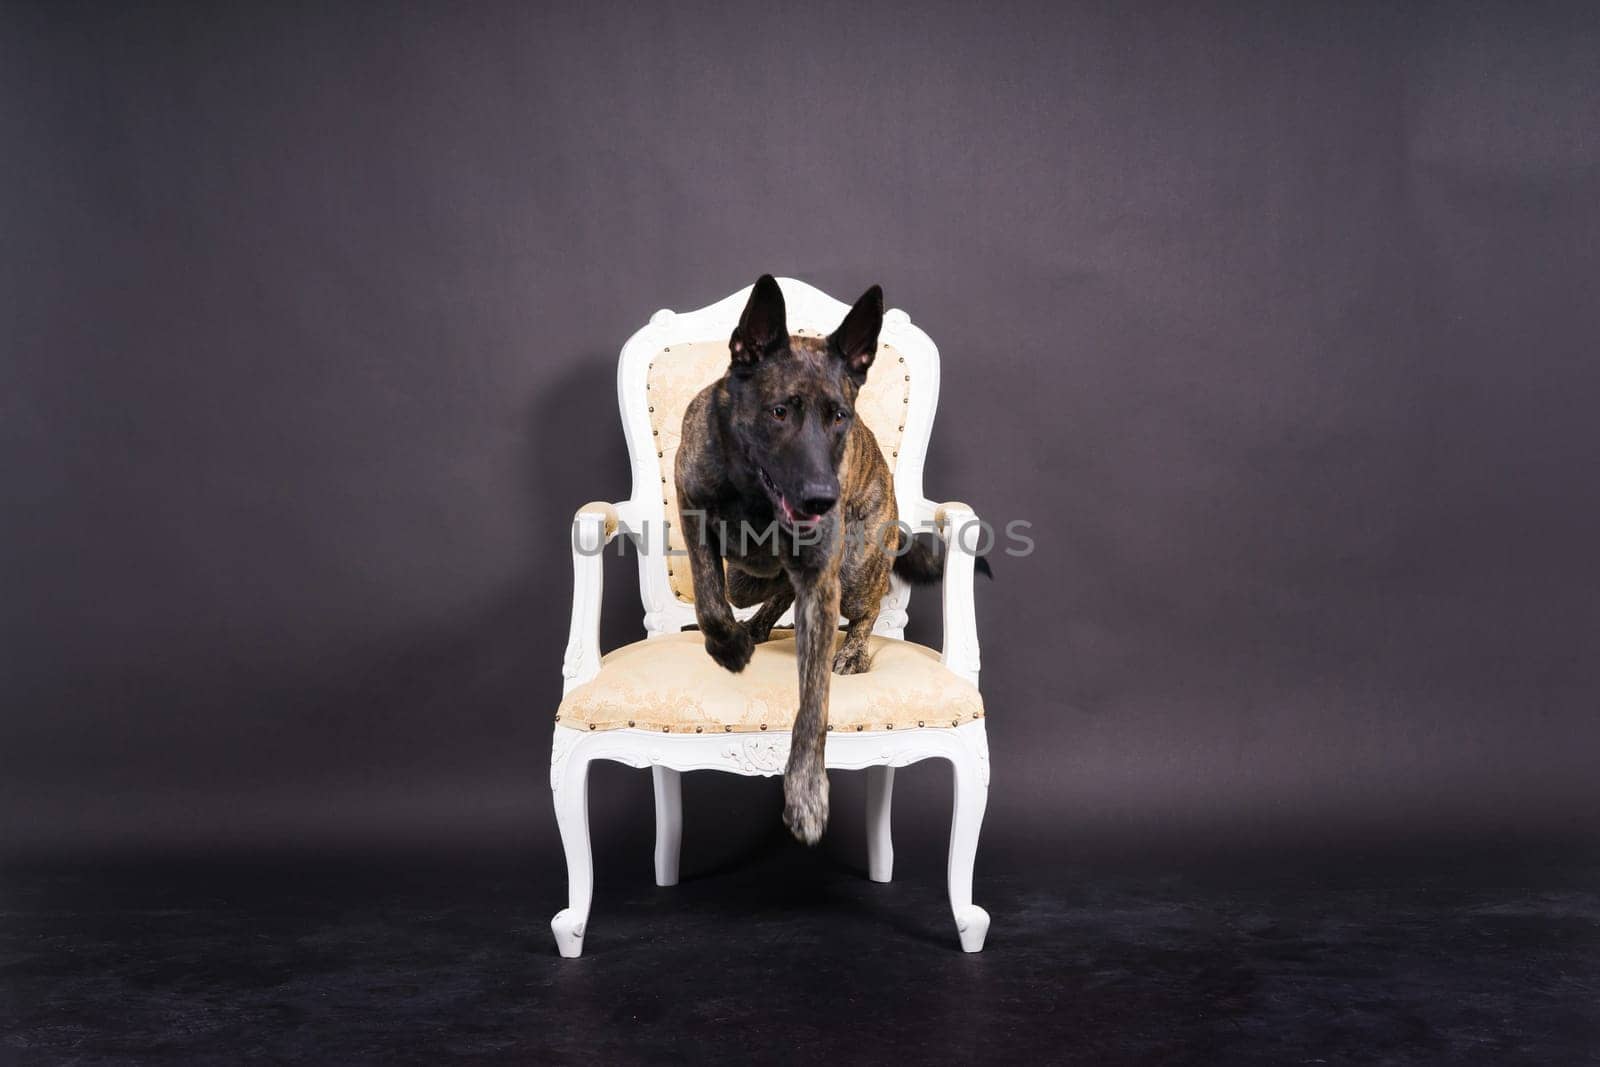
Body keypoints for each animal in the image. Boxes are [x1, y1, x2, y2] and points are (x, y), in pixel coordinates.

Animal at [675, 275, 960, 844]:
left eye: (839, 417)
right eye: (779, 411)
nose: (821, 499)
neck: (755, 495)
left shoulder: (823, 588)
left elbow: (814, 702)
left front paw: (806, 792)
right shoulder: (689, 497)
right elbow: (709, 593)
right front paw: (727, 644)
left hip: (855, 569)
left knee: (865, 609)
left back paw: (853, 651)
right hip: (758, 576)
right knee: (754, 587)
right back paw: (753, 628)